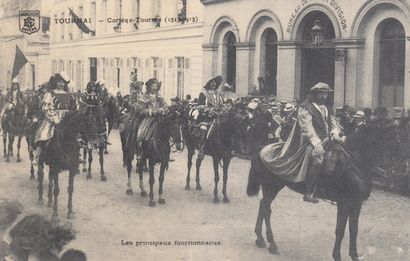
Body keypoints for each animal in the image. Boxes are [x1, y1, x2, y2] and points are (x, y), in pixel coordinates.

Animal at [245, 118, 390, 260]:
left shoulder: (356, 204)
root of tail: (262, 148)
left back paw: (261, 239)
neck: (354, 163)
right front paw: (337, 256)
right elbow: (340, 230)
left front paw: (354, 256)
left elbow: (353, 230)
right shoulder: (344, 204)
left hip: (272, 188)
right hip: (271, 187)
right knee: (266, 208)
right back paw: (271, 244)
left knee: (264, 207)